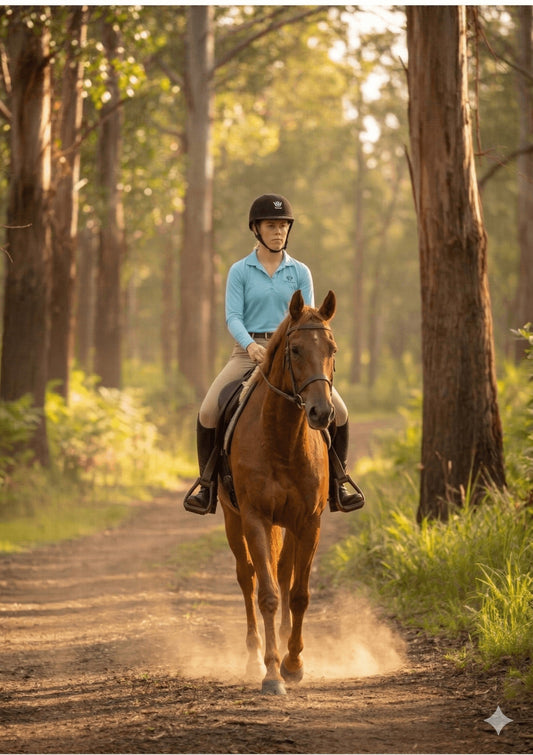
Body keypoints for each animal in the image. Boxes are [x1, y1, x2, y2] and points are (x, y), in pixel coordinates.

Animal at [218, 289, 337, 695]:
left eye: (332, 348)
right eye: (296, 349)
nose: (321, 413)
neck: (283, 438)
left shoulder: (310, 522)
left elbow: (299, 594)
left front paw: (294, 663)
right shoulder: (255, 518)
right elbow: (267, 594)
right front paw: (271, 672)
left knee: (283, 572)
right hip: (232, 519)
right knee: (247, 575)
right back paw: (254, 656)